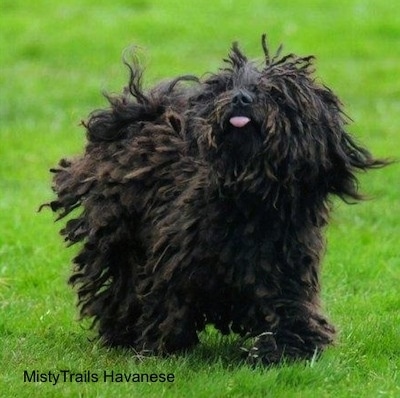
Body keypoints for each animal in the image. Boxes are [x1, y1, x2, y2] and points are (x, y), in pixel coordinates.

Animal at [43, 35, 388, 364]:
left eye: (276, 94)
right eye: (229, 86)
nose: (240, 98)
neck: (250, 202)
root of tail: (142, 112)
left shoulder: (286, 272)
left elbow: (291, 318)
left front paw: (282, 350)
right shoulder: (175, 263)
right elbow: (167, 303)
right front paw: (162, 346)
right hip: (118, 234)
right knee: (123, 282)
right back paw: (122, 332)